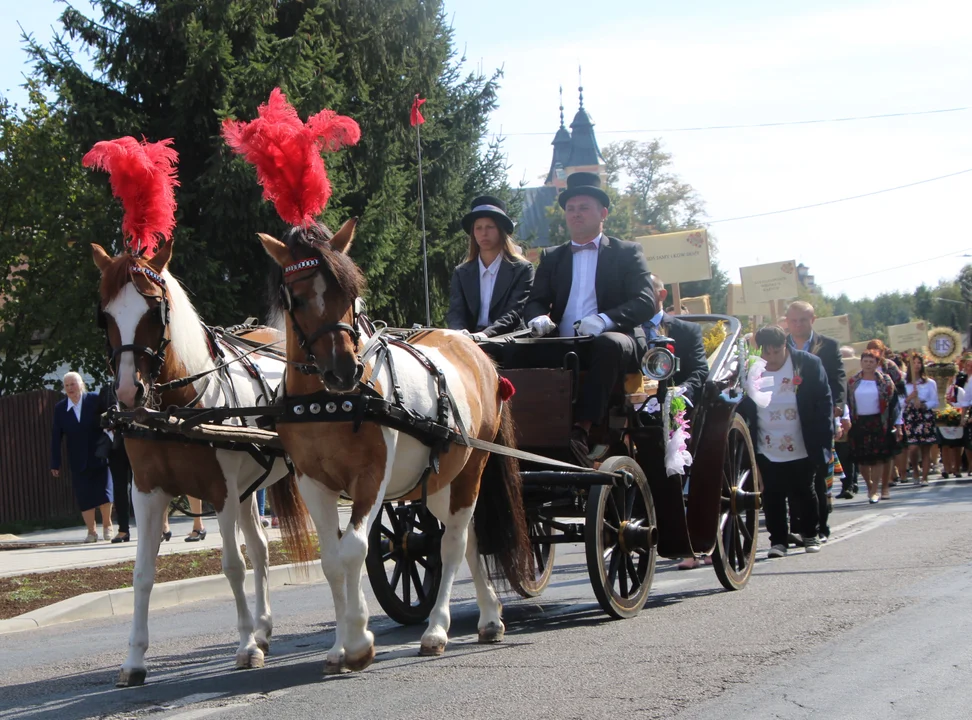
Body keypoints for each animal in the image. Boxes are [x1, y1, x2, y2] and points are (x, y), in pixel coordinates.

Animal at [91, 242, 312, 688]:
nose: (127, 392)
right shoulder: (147, 492)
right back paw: (263, 628)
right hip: (248, 489)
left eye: (154, 310)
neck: (177, 412)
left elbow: (232, 565)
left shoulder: (219, 490)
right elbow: (142, 574)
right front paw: (134, 660)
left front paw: (244, 647)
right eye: (105, 315)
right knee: (261, 549)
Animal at [258, 221, 532, 676]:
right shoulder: (312, 482)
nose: (344, 370)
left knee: (452, 544)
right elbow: (332, 559)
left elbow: (354, 549)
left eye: (350, 295)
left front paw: (359, 642)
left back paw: (436, 630)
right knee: (467, 537)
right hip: (440, 482)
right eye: (297, 297)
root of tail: (475, 350)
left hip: (472, 469)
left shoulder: (371, 479)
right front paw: (341, 646)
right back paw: (490, 616)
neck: (327, 403)